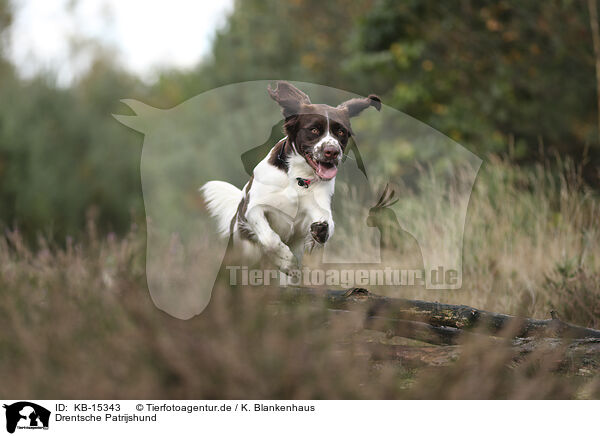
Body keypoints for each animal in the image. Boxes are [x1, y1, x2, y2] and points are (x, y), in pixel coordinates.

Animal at [202, 81, 380, 272]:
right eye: (314, 129)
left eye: (340, 132)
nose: (332, 151)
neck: (298, 178)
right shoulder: (252, 208)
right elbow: (270, 238)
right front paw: (286, 261)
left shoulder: (319, 209)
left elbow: (326, 225)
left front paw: (320, 231)